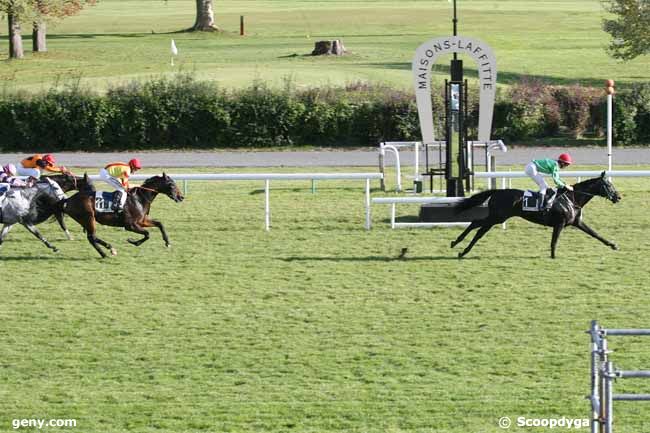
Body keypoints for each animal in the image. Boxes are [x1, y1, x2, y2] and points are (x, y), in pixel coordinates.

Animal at [448, 172, 620, 258]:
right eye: (608, 185)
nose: (618, 197)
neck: (572, 199)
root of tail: (498, 191)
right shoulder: (559, 224)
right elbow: (554, 242)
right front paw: (553, 257)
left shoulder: (576, 223)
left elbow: (595, 234)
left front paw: (613, 245)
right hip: (497, 217)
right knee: (477, 226)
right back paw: (459, 246)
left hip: (496, 217)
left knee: (477, 227)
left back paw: (460, 248)